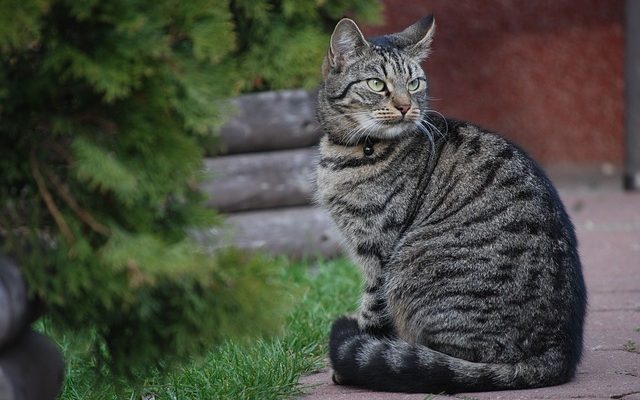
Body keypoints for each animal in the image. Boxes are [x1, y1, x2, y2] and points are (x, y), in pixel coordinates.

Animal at [312, 15, 588, 394]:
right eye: (377, 84)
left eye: (413, 83)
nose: (405, 106)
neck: (350, 150)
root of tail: (558, 354)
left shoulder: (379, 253)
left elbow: (371, 312)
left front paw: (353, 361)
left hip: (410, 266)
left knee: (444, 364)